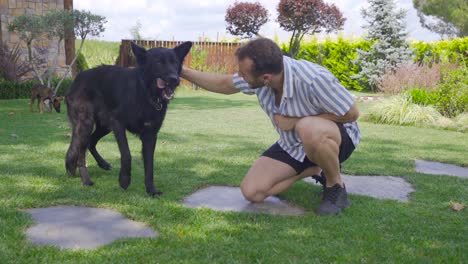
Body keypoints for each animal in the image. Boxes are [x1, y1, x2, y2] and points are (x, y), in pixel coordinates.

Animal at [64, 41, 192, 196]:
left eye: (175, 63)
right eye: (158, 62)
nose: (175, 80)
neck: (145, 93)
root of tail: (77, 79)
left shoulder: (150, 135)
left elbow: (149, 164)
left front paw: (151, 190)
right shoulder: (118, 125)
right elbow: (126, 154)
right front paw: (124, 180)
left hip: (104, 127)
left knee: (90, 142)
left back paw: (102, 164)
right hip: (85, 124)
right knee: (81, 151)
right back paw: (86, 180)